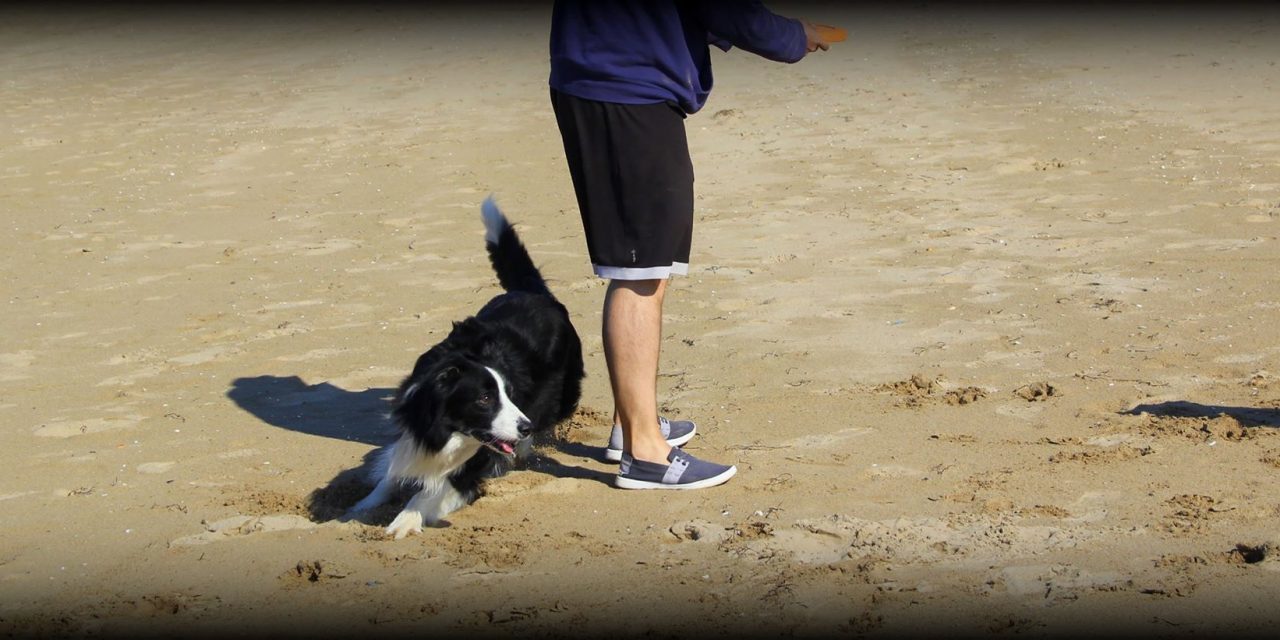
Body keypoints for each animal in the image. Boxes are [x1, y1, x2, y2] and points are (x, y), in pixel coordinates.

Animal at [345, 197, 586, 537]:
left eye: (509, 394)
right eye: (484, 399)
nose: (524, 426)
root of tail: (534, 292)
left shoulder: (474, 461)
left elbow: (430, 492)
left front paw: (403, 522)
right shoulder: (413, 430)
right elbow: (391, 472)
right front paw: (360, 506)